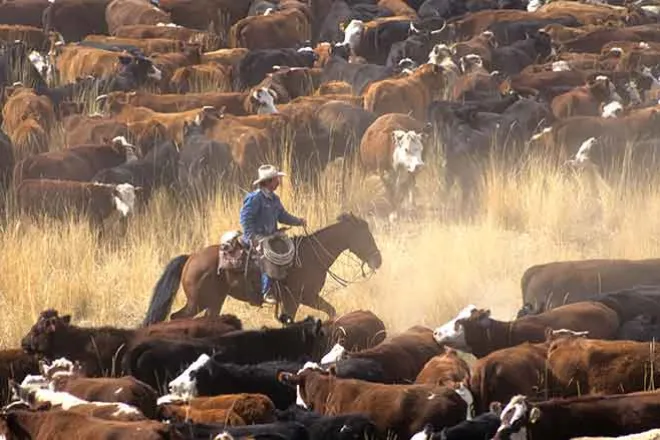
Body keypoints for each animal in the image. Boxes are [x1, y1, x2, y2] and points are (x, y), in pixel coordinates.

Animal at [142, 213, 384, 326]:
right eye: (365, 236)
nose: (378, 261)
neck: (310, 256)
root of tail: (191, 257)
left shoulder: (307, 298)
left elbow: (331, 311)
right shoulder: (299, 298)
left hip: (213, 302)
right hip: (198, 302)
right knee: (176, 317)